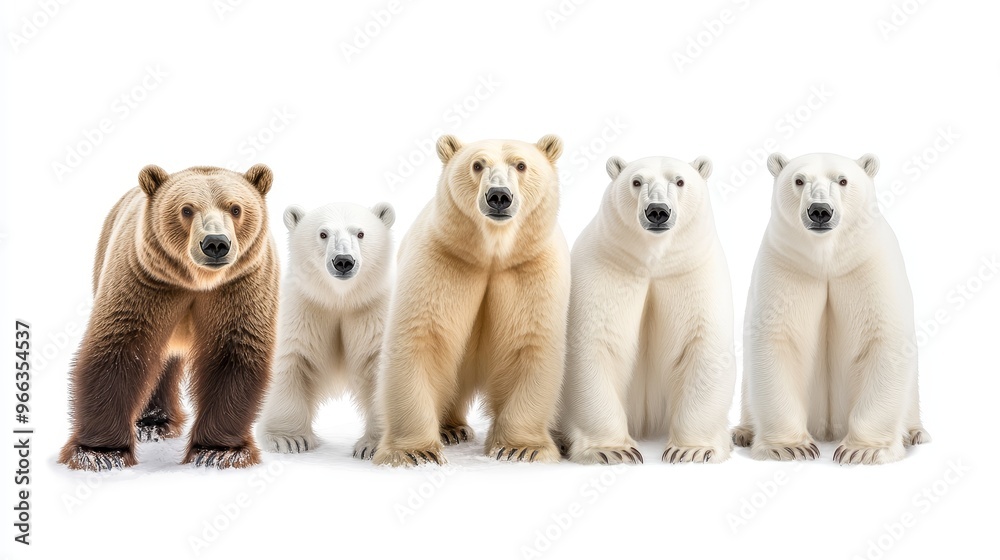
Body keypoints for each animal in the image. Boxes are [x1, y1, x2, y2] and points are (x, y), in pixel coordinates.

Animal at [59, 164, 280, 471]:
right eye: (186, 209)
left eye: (235, 208)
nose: (215, 243)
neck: (198, 282)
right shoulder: (146, 280)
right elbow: (121, 348)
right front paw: (100, 453)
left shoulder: (241, 285)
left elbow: (232, 355)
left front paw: (218, 451)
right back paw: (151, 423)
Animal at [256, 202, 396, 459]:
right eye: (323, 234)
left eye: (360, 233)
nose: (343, 261)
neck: (340, 299)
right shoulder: (306, 310)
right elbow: (292, 359)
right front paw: (288, 440)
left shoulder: (373, 311)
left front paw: (373, 446)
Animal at [372, 134, 570, 466]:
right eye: (478, 165)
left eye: (521, 165)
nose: (499, 196)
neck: (491, 254)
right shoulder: (444, 259)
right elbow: (422, 339)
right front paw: (415, 451)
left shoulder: (530, 267)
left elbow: (528, 341)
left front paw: (520, 449)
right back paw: (450, 429)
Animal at [558, 155, 736, 464]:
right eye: (636, 181)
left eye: (679, 181)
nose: (657, 211)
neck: (653, 260)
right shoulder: (607, 268)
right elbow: (593, 346)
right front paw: (612, 450)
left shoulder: (691, 273)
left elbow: (704, 348)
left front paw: (691, 449)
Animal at [733, 152, 930, 464]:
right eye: (799, 180)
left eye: (843, 180)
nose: (820, 210)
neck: (826, 258)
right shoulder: (788, 266)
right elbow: (777, 341)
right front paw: (790, 447)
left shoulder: (867, 264)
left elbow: (882, 339)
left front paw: (863, 450)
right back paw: (742, 432)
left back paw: (914, 433)